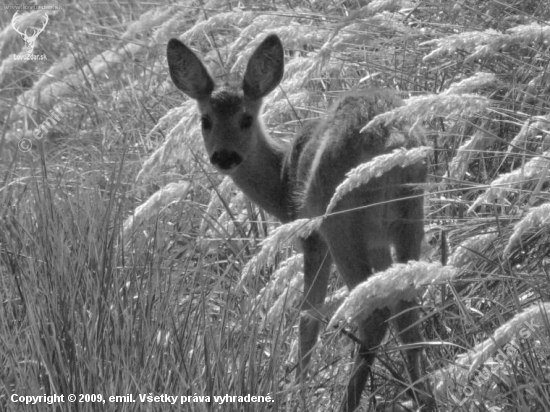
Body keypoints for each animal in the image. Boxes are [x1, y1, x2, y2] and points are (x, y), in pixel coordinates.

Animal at [167, 33, 432, 412]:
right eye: (206, 120)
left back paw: (349, 402)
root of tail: (393, 137)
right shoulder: (377, 241)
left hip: (340, 223)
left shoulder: (311, 236)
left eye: (246, 118)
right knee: (407, 307)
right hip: (409, 216)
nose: (224, 156)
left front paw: (296, 391)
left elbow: (308, 317)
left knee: (373, 314)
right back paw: (426, 396)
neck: (283, 177)